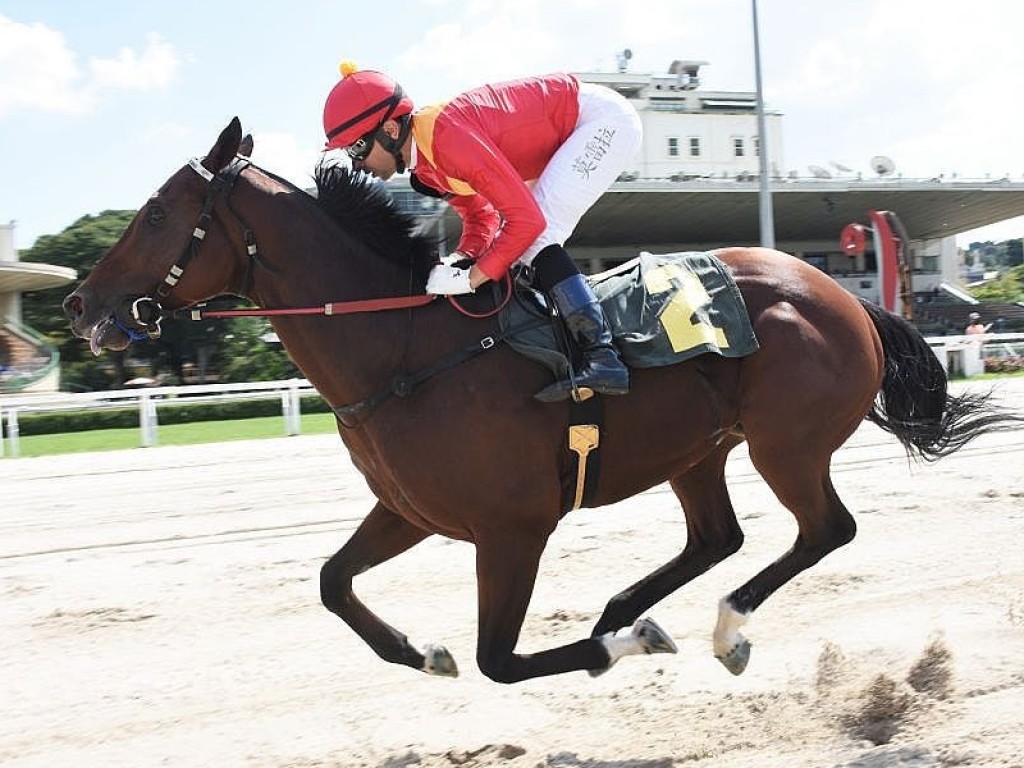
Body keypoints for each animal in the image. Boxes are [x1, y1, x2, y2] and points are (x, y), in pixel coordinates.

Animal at [66, 118, 1024, 684]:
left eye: (157, 216)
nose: (79, 305)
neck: (406, 349)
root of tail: (843, 295)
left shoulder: (512, 529)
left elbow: (500, 659)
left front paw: (622, 647)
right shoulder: (409, 509)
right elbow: (335, 583)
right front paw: (422, 652)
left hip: (784, 443)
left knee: (825, 530)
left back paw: (715, 628)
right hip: (702, 447)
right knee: (719, 536)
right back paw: (629, 609)